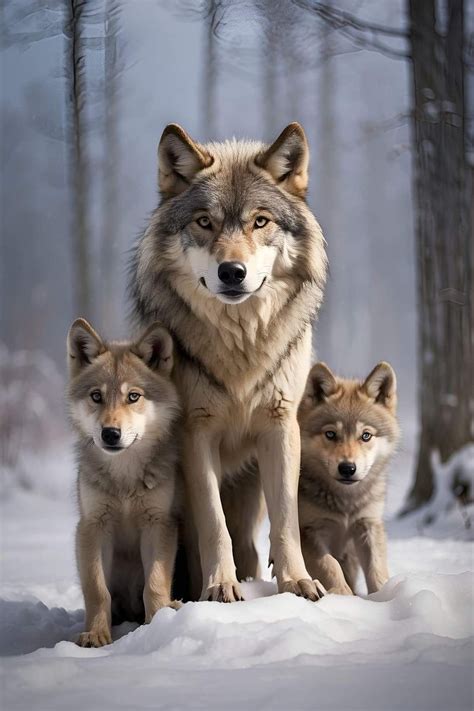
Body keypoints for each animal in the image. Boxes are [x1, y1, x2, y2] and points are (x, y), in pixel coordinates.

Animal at [67, 318, 181, 647]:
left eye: (133, 396)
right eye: (96, 396)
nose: (110, 433)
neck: (125, 479)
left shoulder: (158, 523)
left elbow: (154, 584)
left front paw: (157, 625)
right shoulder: (93, 526)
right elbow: (97, 590)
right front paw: (96, 634)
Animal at [130, 122, 327, 602]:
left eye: (260, 221)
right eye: (205, 222)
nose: (232, 272)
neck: (241, 347)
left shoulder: (280, 426)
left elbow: (286, 519)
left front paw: (297, 582)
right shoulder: (195, 433)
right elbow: (212, 524)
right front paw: (220, 586)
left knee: (253, 547)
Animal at [298, 361, 400, 595]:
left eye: (366, 436)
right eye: (331, 434)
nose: (347, 468)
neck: (345, 502)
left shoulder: (368, 525)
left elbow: (377, 569)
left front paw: (385, 596)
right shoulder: (309, 531)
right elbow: (330, 564)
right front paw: (343, 596)